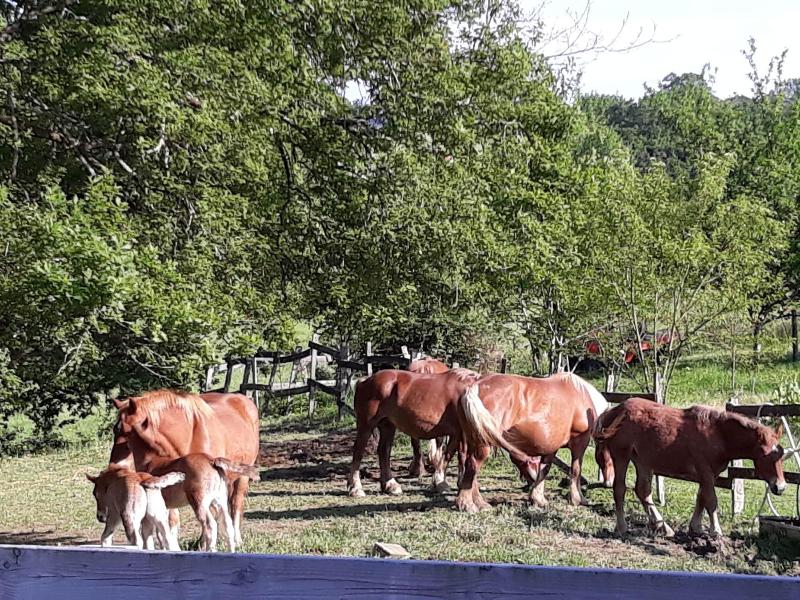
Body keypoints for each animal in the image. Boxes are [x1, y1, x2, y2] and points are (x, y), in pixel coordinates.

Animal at [110, 390, 260, 546]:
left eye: (122, 430)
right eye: (114, 429)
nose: (115, 465)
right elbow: (172, 520)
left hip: (241, 478)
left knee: (235, 505)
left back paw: (235, 539)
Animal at [347, 368, 540, 513]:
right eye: (533, 459)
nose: (534, 481)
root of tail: (364, 380)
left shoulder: (458, 434)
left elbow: (451, 456)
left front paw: (445, 484)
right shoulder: (465, 435)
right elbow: (466, 461)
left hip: (388, 425)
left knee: (384, 451)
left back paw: (390, 485)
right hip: (366, 425)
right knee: (358, 452)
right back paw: (356, 488)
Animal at [468, 372, 609, 508]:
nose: (608, 482)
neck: (582, 396)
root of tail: (476, 386)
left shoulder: (551, 445)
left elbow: (544, 469)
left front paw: (538, 499)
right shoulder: (580, 441)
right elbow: (576, 470)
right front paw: (578, 499)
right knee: (473, 466)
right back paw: (475, 504)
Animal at [593, 398, 786, 537]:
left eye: (781, 454)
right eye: (764, 454)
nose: (780, 487)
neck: (718, 434)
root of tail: (614, 411)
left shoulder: (710, 474)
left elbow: (701, 498)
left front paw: (696, 527)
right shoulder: (705, 471)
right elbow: (711, 500)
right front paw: (715, 531)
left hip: (642, 460)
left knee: (643, 491)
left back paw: (662, 526)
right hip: (622, 456)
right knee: (620, 489)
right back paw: (622, 527)